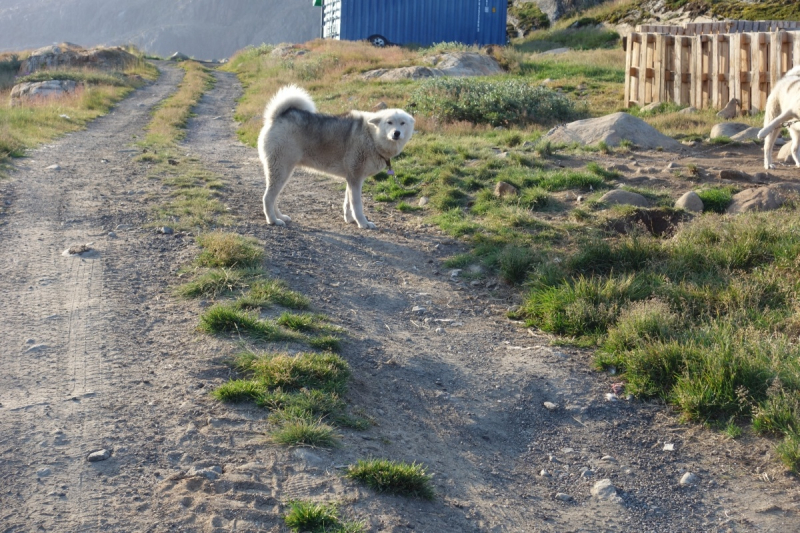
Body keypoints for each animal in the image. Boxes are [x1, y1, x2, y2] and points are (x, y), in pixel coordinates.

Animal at [260, 85, 416, 229]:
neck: (372, 136)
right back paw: (273, 220)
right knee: (267, 198)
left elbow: (348, 203)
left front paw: (350, 219)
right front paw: (363, 223)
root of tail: (277, 116)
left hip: (282, 172)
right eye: (389, 122)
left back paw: (280, 217)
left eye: (402, 123)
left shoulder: (352, 179)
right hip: (281, 170)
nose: (396, 133)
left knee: (273, 198)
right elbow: (357, 205)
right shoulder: (355, 179)